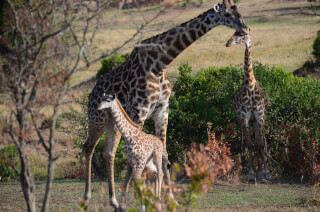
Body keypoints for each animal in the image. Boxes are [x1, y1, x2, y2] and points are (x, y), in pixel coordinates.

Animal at [82, 0, 248, 210]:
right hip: (98, 118)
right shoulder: (140, 111)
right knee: (89, 147)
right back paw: (88, 197)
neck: (160, 63)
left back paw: (113, 200)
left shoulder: (162, 110)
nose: (245, 28)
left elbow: (164, 154)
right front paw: (134, 201)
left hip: (113, 123)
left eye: (238, 10)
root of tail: (92, 93)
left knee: (108, 153)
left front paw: (170, 199)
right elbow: (134, 160)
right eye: (227, 14)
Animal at [226, 31, 272, 182]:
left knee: (257, 142)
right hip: (242, 121)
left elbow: (260, 144)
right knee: (246, 143)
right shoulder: (245, 117)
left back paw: (261, 172)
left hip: (255, 121)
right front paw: (252, 174)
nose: (228, 43)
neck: (250, 85)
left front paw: (265, 173)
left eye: (242, 35)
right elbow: (250, 145)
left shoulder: (260, 116)